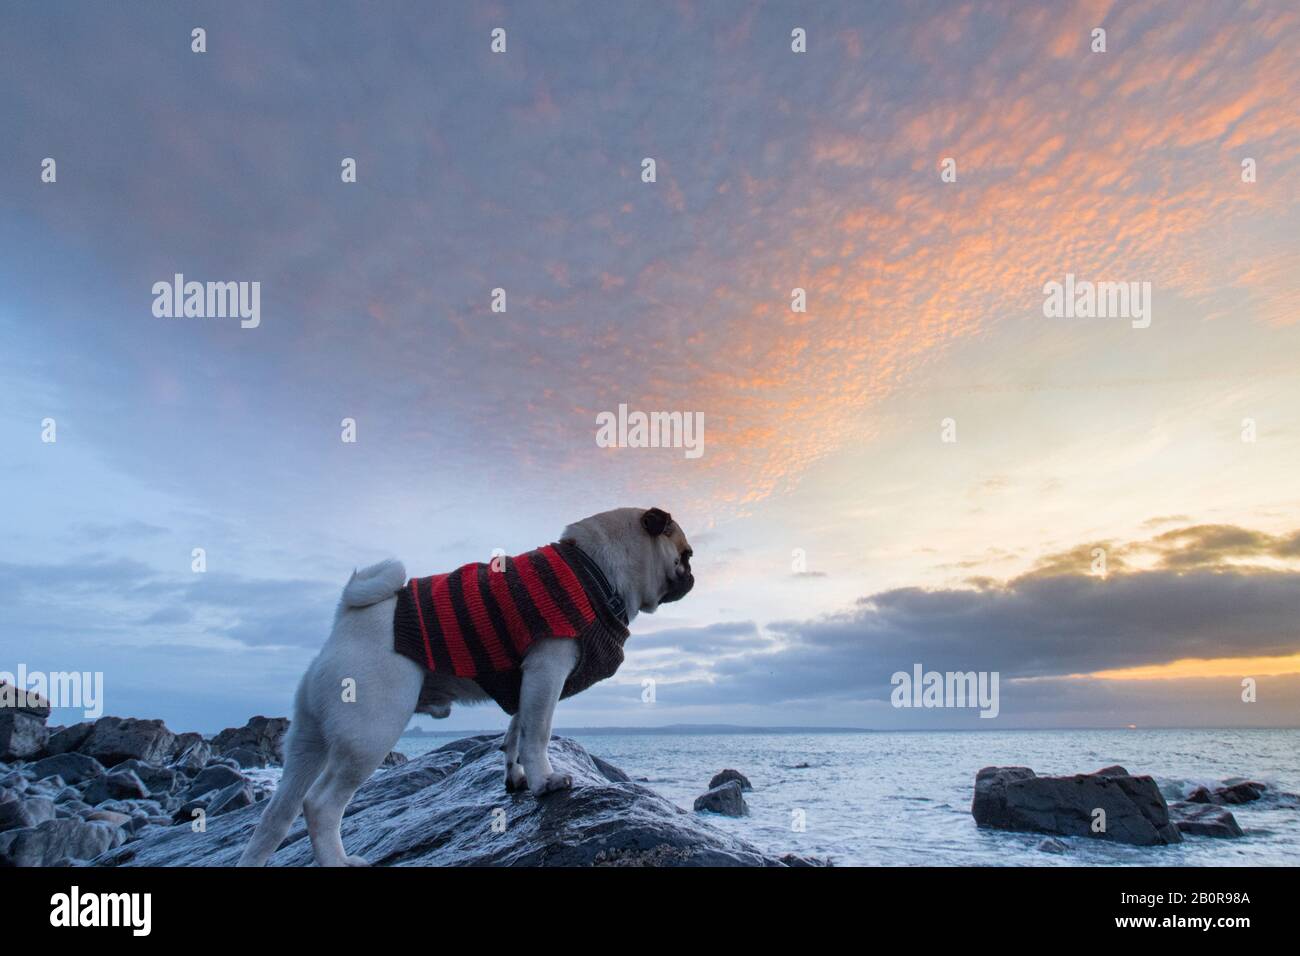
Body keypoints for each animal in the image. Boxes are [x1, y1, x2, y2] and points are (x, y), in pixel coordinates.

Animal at [240, 509, 696, 868]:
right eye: (685, 555)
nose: (693, 574)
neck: (595, 568)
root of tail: (347, 621)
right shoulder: (546, 670)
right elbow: (538, 734)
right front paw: (545, 781)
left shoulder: (526, 682)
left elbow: (516, 733)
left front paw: (517, 776)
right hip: (370, 733)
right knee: (319, 805)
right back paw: (338, 860)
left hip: (307, 741)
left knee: (276, 817)